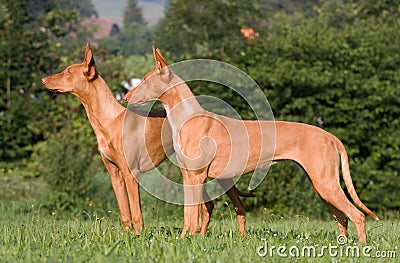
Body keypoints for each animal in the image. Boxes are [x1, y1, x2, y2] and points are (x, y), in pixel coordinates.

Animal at [41, 44, 253, 236]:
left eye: (68, 72)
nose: (43, 79)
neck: (110, 120)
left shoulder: (131, 173)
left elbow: (136, 212)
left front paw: (138, 237)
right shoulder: (114, 174)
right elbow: (124, 212)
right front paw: (126, 236)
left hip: (218, 172)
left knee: (236, 204)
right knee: (208, 205)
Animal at [123, 45, 380, 243]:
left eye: (144, 81)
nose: (125, 98)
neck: (188, 116)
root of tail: (330, 136)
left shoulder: (196, 176)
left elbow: (192, 215)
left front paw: (188, 238)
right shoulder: (189, 175)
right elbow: (190, 214)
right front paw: (188, 237)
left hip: (326, 185)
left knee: (358, 216)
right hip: (323, 186)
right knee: (343, 218)